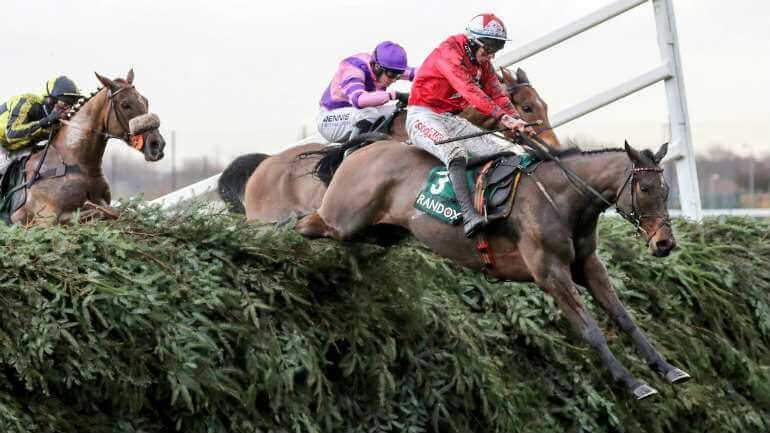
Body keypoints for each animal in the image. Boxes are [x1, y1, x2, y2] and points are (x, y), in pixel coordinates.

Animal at [8, 69, 165, 224]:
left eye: (145, 100)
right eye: (125, 104)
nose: (157, 144)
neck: (76, 163)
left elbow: (117, 211)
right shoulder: (45, 218)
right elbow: (99, 212)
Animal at [296, 138, 688, 398]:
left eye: (667, 188)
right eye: (646, 188)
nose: (665, 243)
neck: (562, 198)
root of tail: (361, 150)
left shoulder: (588, 265)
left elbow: (624, 318)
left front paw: (668, 369)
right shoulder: (550, 273)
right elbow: (591, 330)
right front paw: (634, 383)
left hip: (382, 233)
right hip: (342, 219)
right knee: (304, 224)